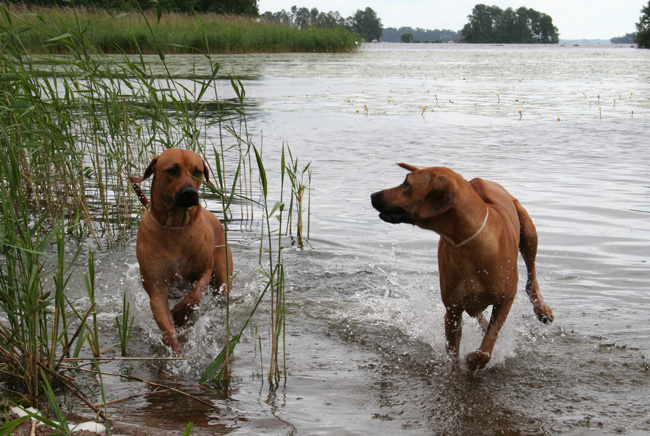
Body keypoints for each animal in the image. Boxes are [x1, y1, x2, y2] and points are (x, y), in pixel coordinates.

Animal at [129, 149, 233, 354]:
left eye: (198, 171)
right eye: (172, 170)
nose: (190, 193)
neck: (175, 226)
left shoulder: (205, 270)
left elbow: (195, 294)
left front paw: (179, 313)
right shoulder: (156, 288)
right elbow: (167, 327)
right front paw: (176, 353)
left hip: (223, 275)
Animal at [370, 165, 552, 370]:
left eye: (406, 183)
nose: (373, 195)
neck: (469, 245)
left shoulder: (505, 300)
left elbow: (489, 341)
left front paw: (475, 359)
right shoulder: (452, 311)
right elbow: (454, 353)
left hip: (528, 232)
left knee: (531, 276)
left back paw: (542, 309)